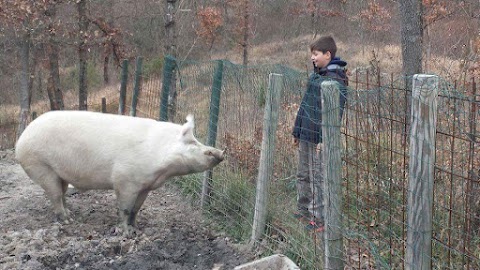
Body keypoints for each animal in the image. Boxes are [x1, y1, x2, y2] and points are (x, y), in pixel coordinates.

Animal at [15, 110, 224, 235]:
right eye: (194, 143)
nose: (221, 152)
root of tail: (21, 139)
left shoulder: (145, 185)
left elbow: (136, 208)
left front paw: (136, 228)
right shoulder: (125, 179)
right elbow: (125, 208)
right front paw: (125, 232)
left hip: (60, 173)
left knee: (62, 193)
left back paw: (72, 214)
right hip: (40, 166)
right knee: (55, 195)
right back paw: (67, 221)